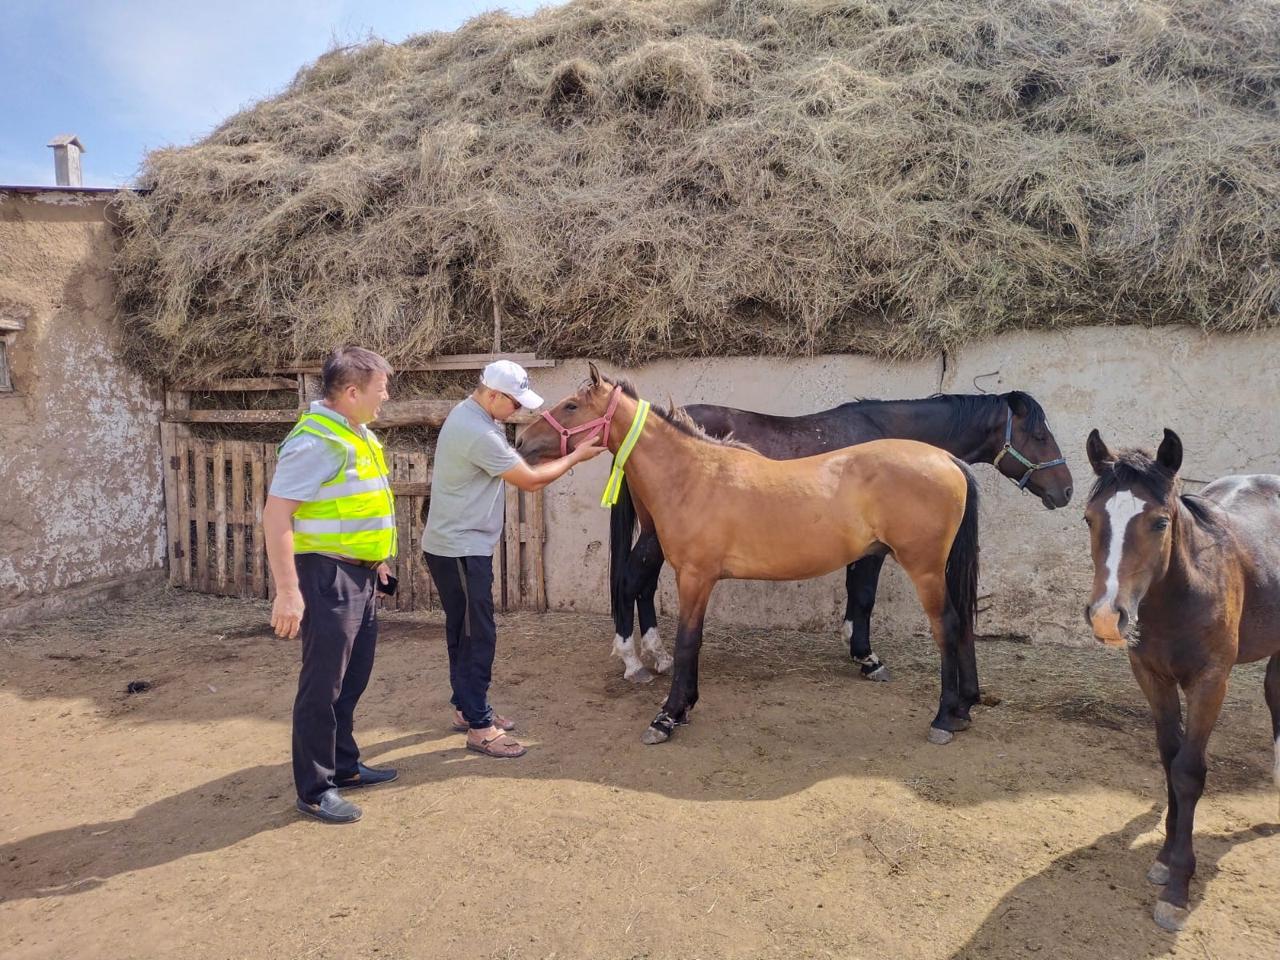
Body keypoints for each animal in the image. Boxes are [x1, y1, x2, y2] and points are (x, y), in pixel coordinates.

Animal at [514, 363, 983, 747]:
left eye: (572, 405)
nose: (521, 439)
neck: (693, 475)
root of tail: (947, 460)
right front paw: (681, 708)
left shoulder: (695, 577)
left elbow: (688, 641)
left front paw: (668, 716)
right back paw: (963, 710)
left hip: (925, 569)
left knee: (947, 626)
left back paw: (944, 718)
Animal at [604, 391, 1075, 686]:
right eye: (1038, 434)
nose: (1066, 490)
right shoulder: (872, 552)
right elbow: (863, 596)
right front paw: (868, 658)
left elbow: (855, 597)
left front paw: (856, 647)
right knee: (630, 581)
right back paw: (633, 662)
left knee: (643, 585)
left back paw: (659, 656)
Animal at [1085, 427, 1280, 931]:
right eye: (1089, 518)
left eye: (1159, 523)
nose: (1106, 617)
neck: (1179, 595)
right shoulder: (1152, 677)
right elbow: (1169, 760)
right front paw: (1163, 858)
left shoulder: (1211, 682)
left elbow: (1189, 772)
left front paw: (1177, 887)